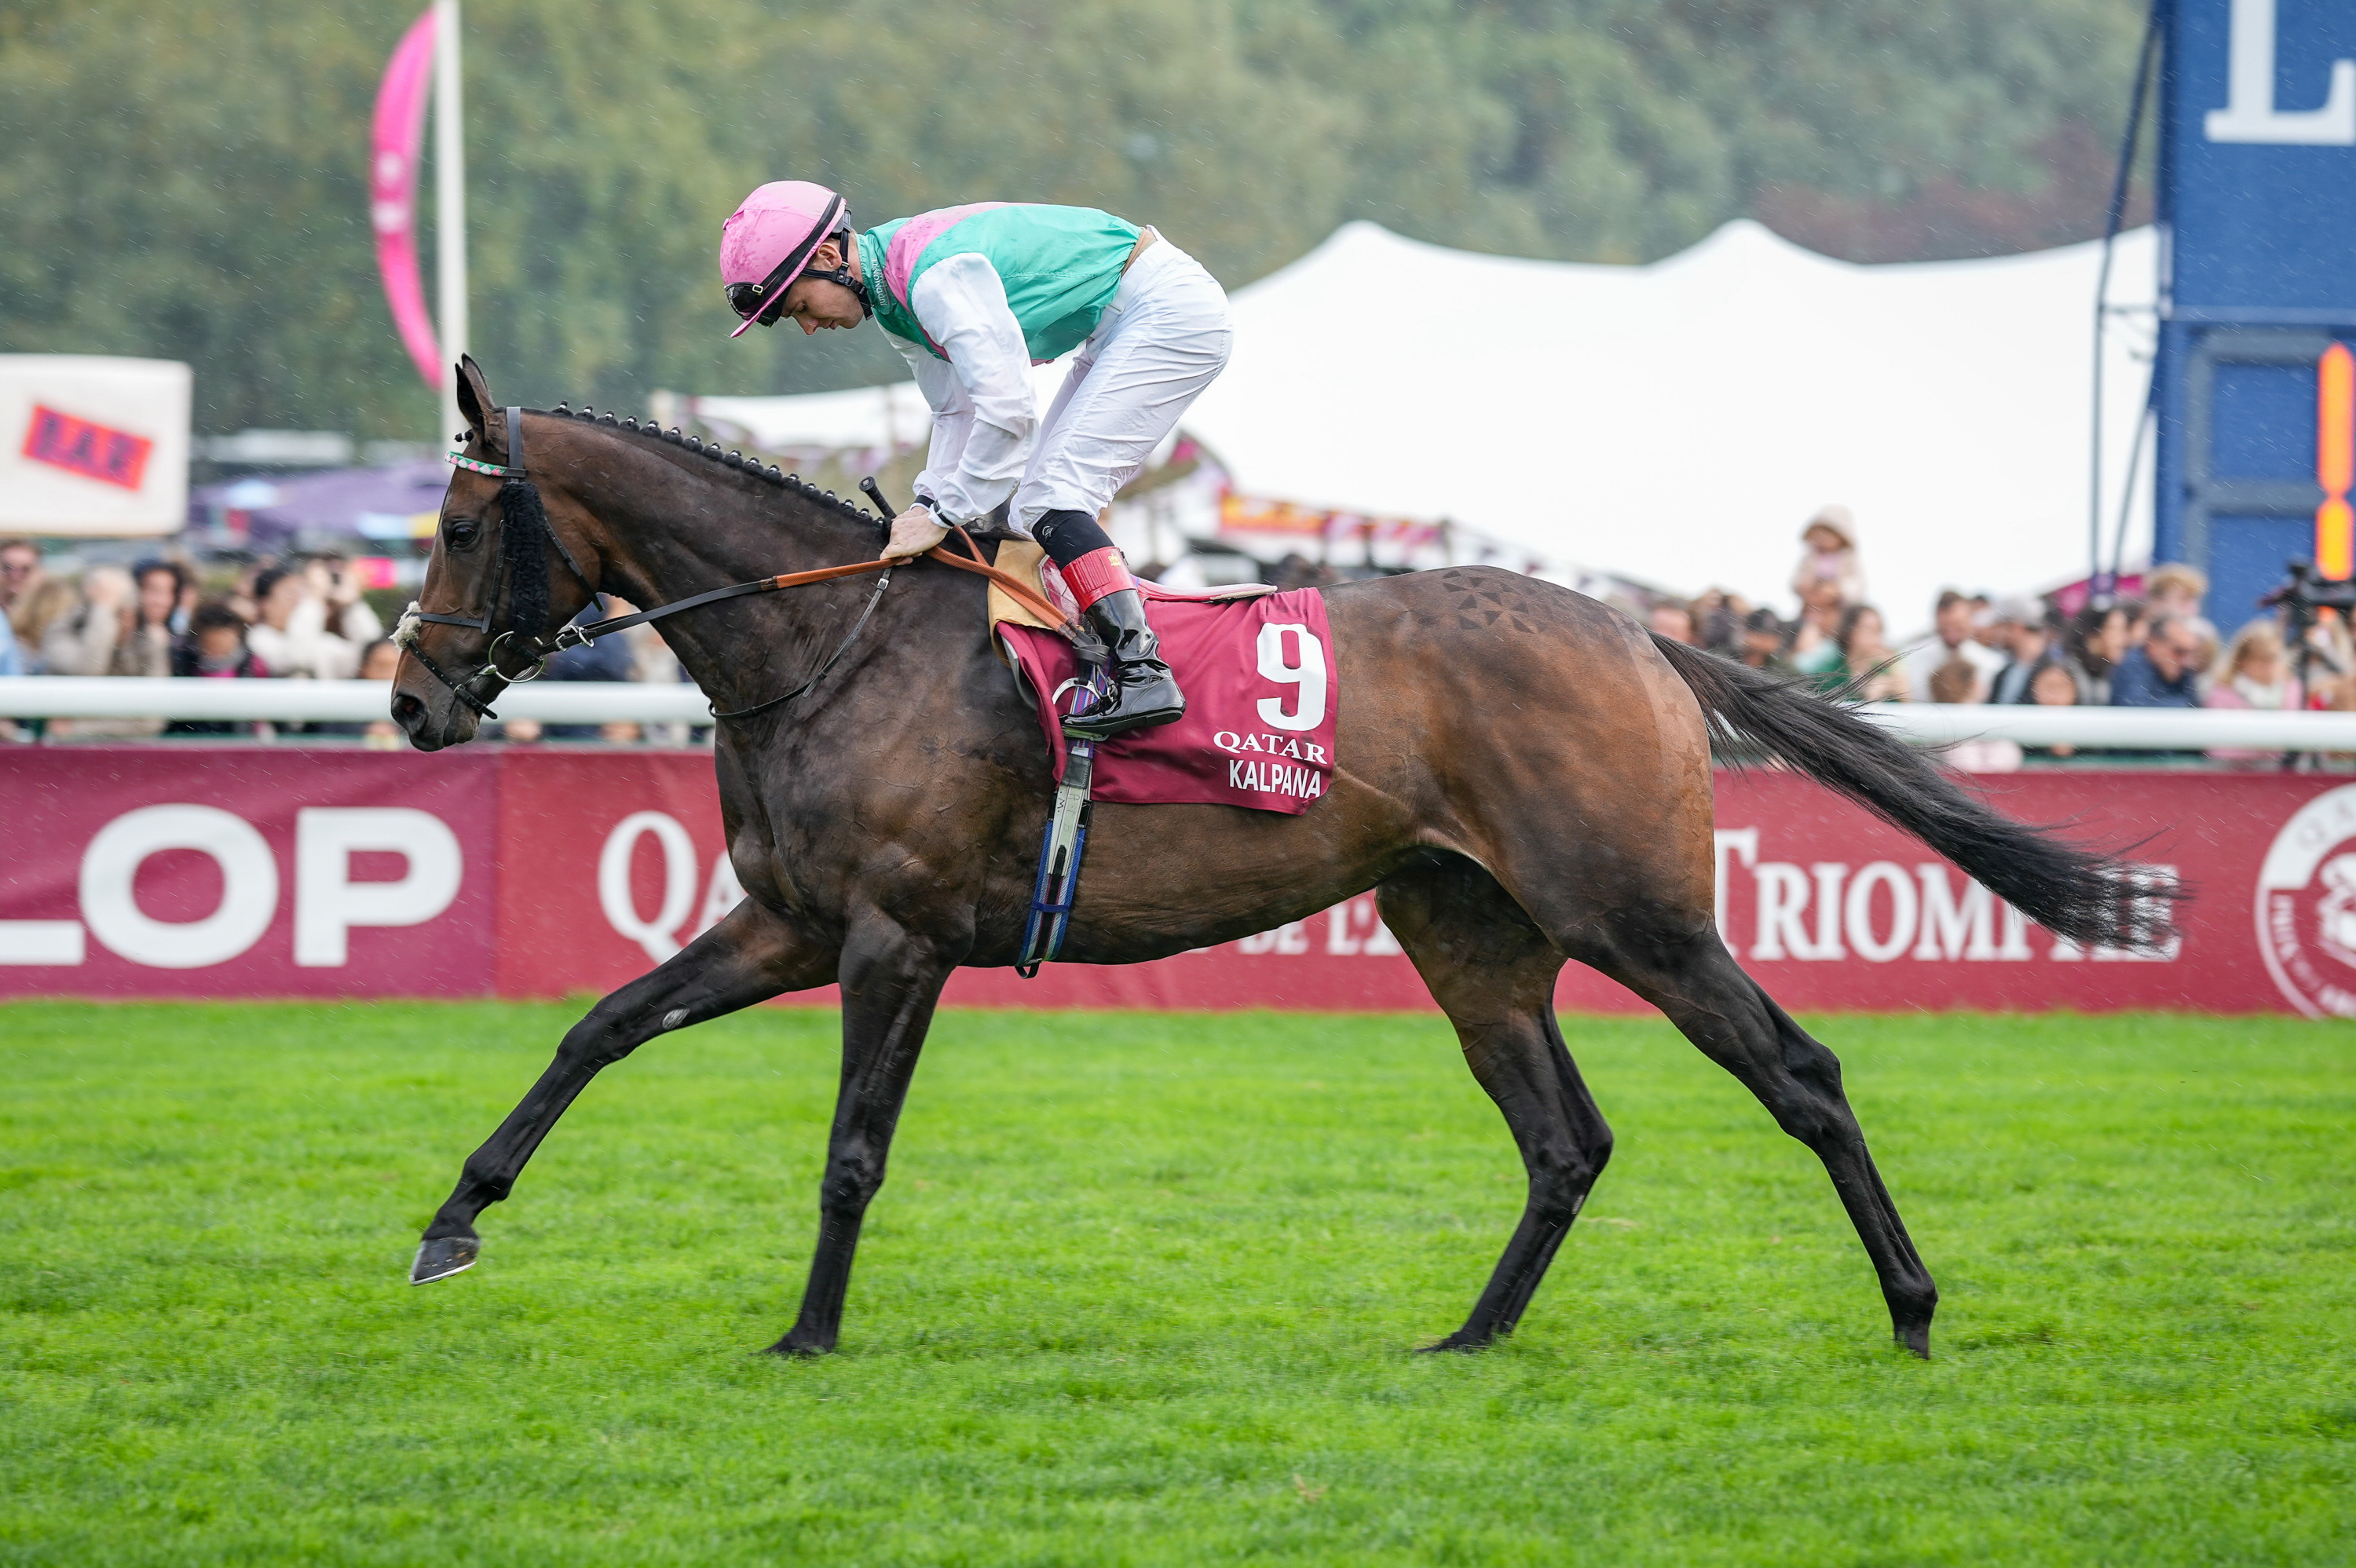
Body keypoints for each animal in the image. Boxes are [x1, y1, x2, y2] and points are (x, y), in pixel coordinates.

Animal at [393, 357, 2160, 1360]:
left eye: (461, 528)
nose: (412, 699)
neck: (833, 642)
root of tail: (1646, 633)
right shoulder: (791, 923)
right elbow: (596, 1029)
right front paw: (454, 1216)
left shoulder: (896, 934)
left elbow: (851, 1150)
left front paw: (811, 1333)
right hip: (1471, 931)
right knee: (1566, 1139)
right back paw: (1471, 1334)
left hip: (1637, 911)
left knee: (1802, 1073)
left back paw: (1914, 1308)